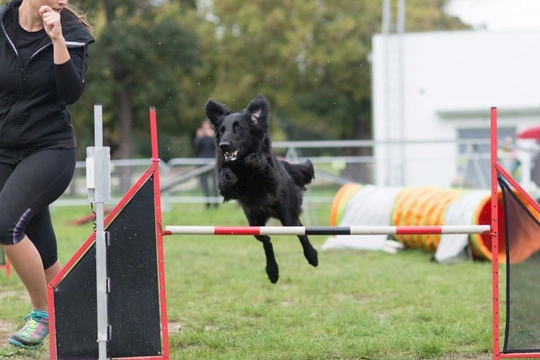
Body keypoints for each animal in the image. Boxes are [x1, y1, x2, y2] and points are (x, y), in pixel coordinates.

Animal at [205, 95, 318, 284]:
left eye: (239, 128)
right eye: (222, 130)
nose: (223, 145)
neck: (241, 164)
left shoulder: (272, 181)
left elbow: (263, 165)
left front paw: (256, 159)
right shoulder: (227, 190)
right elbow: (224, 176)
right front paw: (228, 176)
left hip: (288, 217)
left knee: (300, 231)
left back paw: (312, 256)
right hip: (254, 223)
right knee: (266, 240)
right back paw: (272, 271)